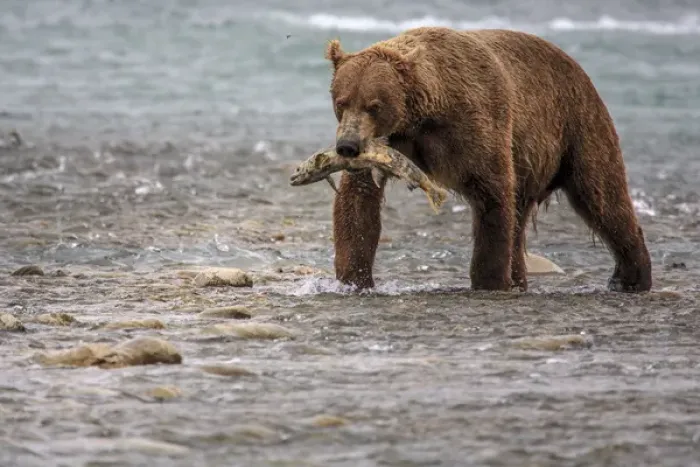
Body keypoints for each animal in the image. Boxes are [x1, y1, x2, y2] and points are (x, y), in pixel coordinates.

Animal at [325, 26, 652, 293]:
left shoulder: (476, 125)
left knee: (601, 196)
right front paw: (354, 279)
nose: (347, 146)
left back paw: (630, 278)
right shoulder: (389, 146)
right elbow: (358, 202)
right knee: (521, 217)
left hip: (578, 127)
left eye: (374, 106)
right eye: (341, 101)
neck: (422, 114)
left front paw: (489, 280)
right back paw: (520, 280)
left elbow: (492, 197)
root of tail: (578, 67)